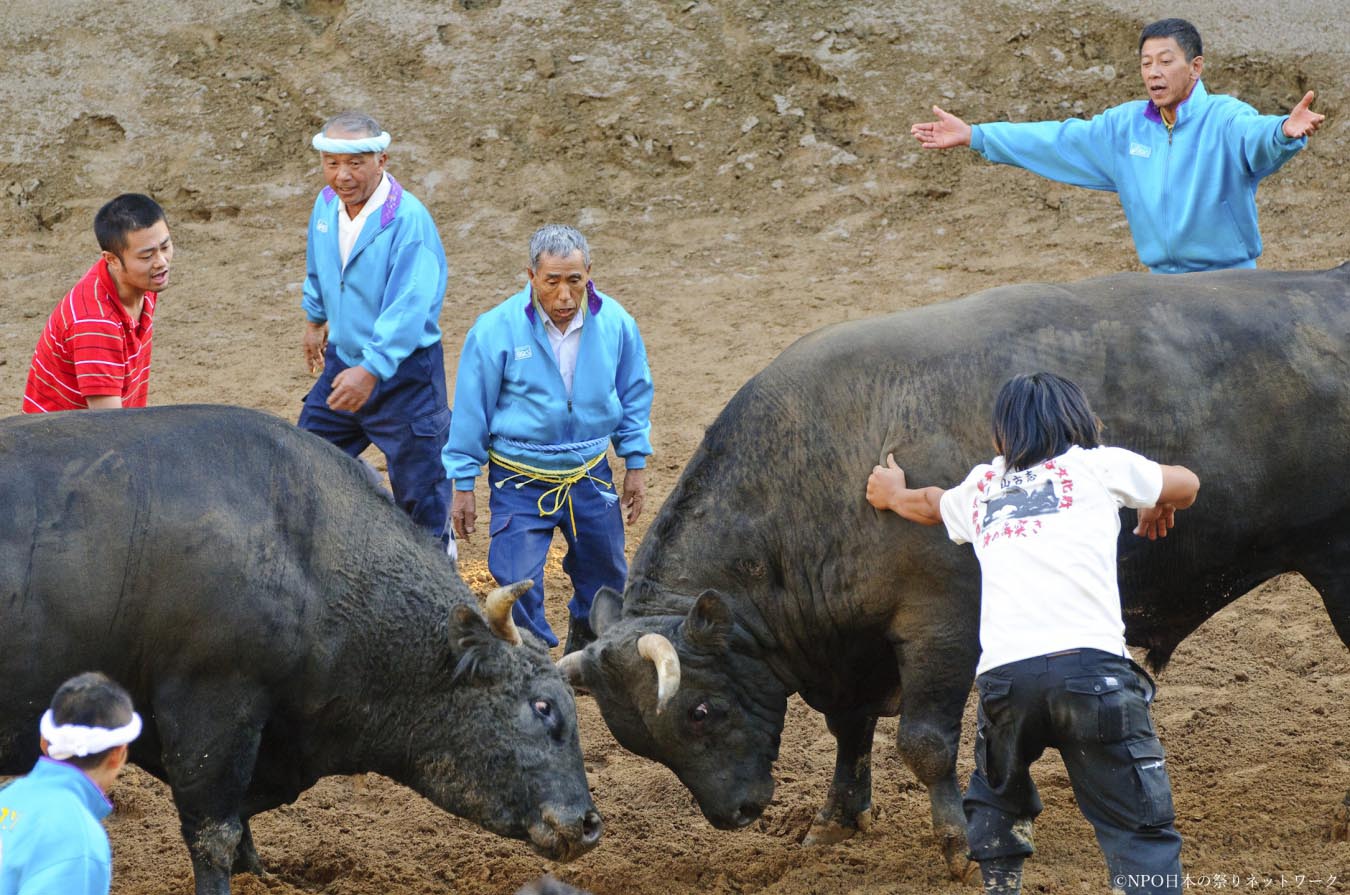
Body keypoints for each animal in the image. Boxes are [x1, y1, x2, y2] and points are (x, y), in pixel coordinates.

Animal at [0, 407, 602, 895]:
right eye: (543, 707)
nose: (590, 824)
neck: (305, 553)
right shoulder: (210, 710)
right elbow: (214, 831)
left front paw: (262, 874)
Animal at [561, 263, 1350, 880]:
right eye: (638, 741)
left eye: (700, 711)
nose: (736, 813)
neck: (818, 471)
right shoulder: (850, 646)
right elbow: (849, 730)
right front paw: (835, 818)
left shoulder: (941, 626)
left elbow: (924, 741)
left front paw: (957, 843)